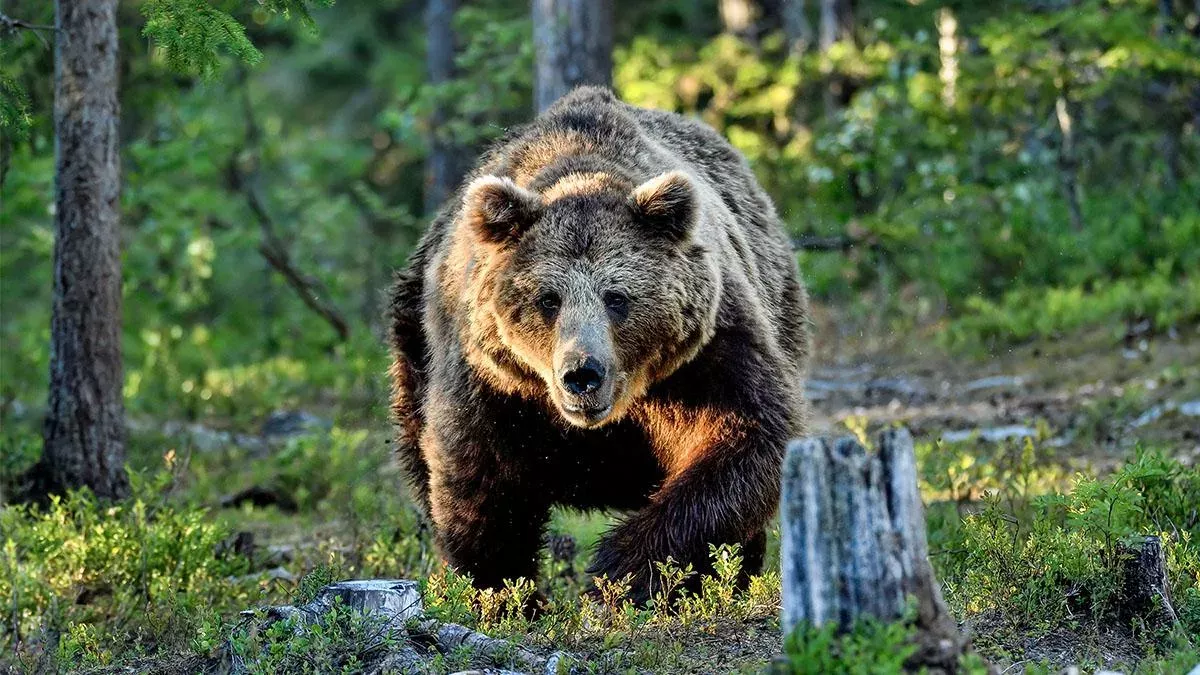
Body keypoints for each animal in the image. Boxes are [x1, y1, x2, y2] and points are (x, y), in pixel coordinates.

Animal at [387, 87, 810, 604]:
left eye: (617, 297)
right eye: (548, 298)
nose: (582, 374)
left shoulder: (706, 355)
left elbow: (746, 437)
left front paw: (621, 571)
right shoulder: (491, 376)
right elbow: (478, 473)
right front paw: (502, 592)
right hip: (412, 343)